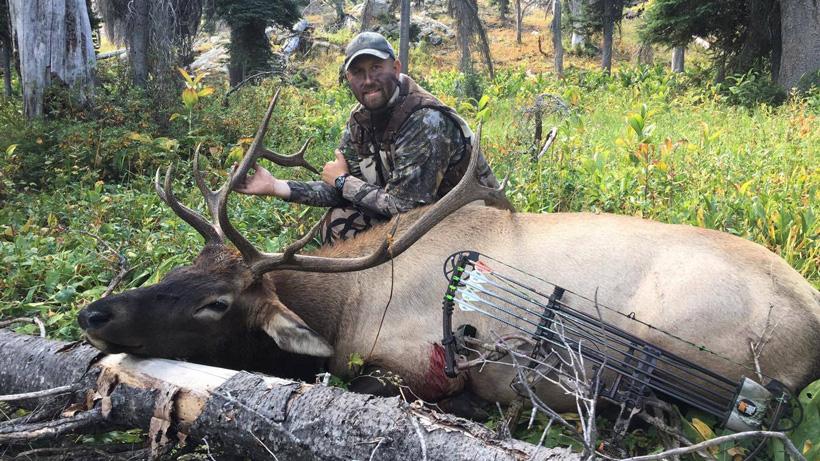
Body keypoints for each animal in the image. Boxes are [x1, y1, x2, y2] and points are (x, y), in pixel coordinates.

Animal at [78, 91, 820, 420]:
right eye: (178, 268)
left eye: (216, 303)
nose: (94, 315)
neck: (348, 303)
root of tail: (812, 322)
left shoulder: (408, 367)